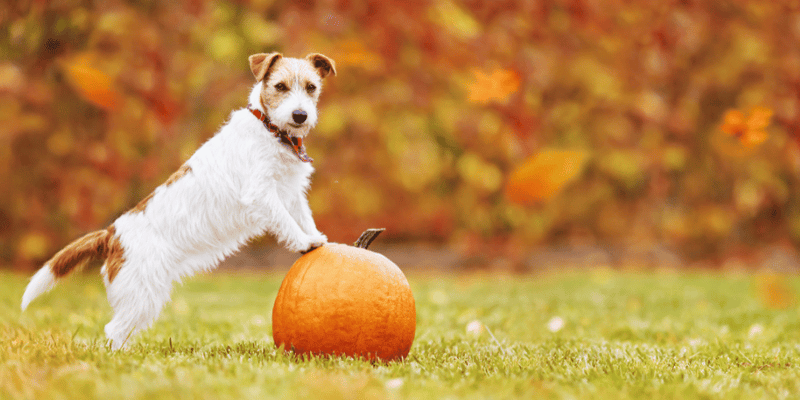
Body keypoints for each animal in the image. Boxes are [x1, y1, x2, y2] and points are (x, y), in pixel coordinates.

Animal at [21, 52, 334, 350]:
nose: (300, 115)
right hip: (142, 295)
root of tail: (112, 234)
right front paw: (306, 242)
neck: (270, 130)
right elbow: (286, 222)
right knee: (114, 331)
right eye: (280, 86)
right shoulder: (261, 193)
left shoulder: (291, 193)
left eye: (311, 87)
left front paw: (319, 239)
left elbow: (303, 217)